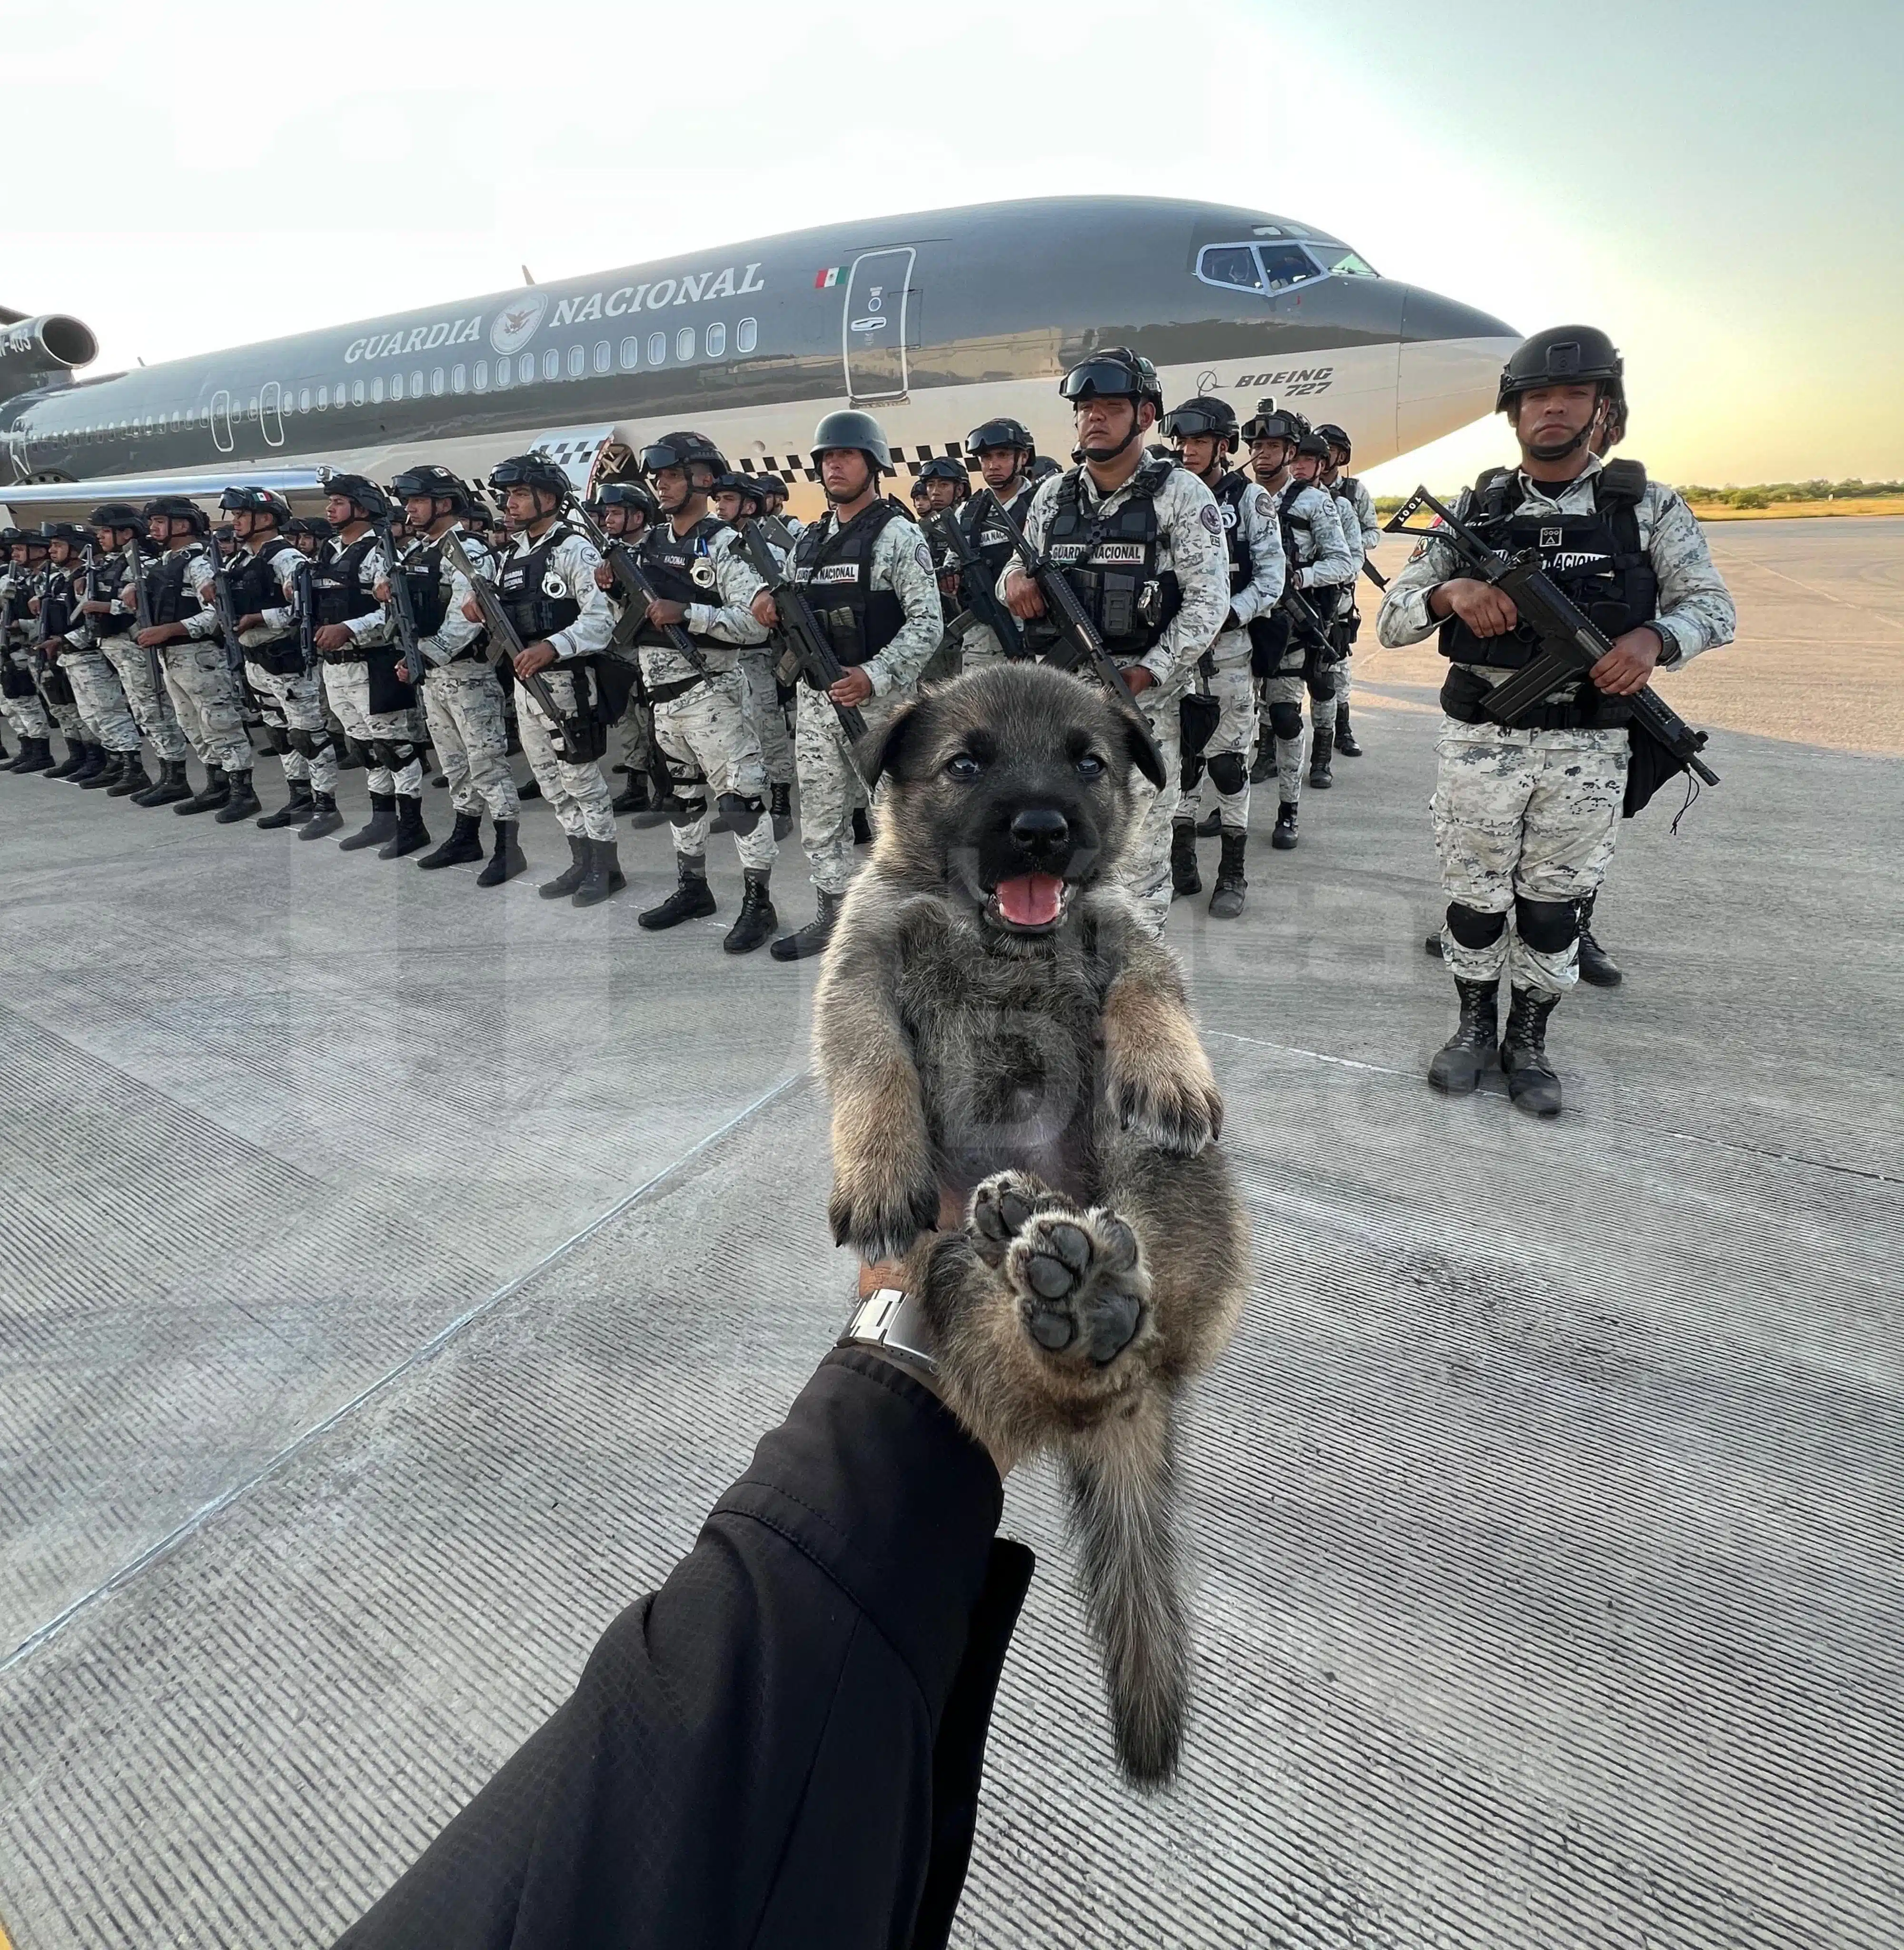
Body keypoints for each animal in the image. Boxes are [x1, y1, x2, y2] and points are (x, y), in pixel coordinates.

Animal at [814, 663, 1247, 1786]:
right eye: (965, 763)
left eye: (1086, 762)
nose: (1043, 830)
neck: (999, 936)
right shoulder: (858, 970)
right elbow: (871, 1062)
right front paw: (877, 1164)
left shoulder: (1125, 934)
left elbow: (1143, 983)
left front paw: (1168, 1066)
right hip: (941, 1274)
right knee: (1033, 1336)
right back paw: (1041, 1255)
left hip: (1148, 1178)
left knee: (1139, 1293)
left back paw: (1085, 1275)